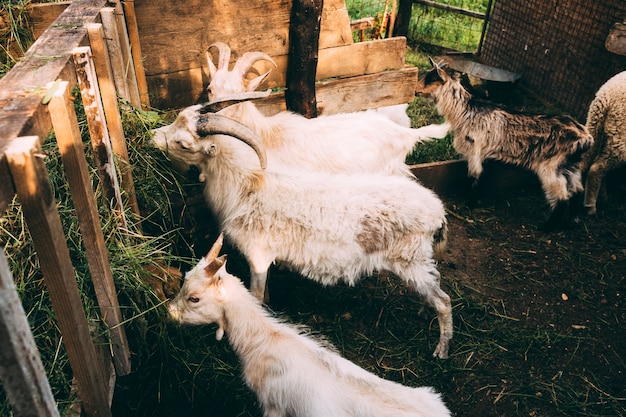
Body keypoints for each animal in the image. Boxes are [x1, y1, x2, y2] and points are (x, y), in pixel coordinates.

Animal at [153, 104, 450, 358]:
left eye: (183, 143)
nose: (151, 137)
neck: (245, 187)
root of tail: (438, 211)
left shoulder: (257, 256)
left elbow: (256, 296)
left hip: (410, 261)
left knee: (444, 301)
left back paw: (441, 350)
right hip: (419, 262)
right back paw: (423, 311)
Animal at [416, 61, 592, 231]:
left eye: (431, 79)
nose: (416, 91)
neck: (465, 112)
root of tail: (586, 138)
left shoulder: (476, 149)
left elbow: (474, 174)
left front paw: (469, 203)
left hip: (551, 166)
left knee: (562, 196)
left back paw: (547, 227)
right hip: (570, 166)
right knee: (577, 191)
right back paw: (570, 222)